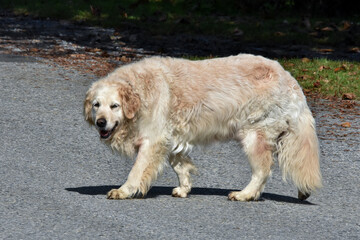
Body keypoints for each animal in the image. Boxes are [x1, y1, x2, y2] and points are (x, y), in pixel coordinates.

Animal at [85, 54, 324, 201]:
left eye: (114, 106)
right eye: (96, 105)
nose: (100, 122)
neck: (140, 93)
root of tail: (290, 79)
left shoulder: (152, 141)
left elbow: (137, 171)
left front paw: (124, 191)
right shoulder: (172, 137)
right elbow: (180, 166)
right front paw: (184, 188)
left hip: (254, 136)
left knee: (263, 171)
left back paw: (244, 194)